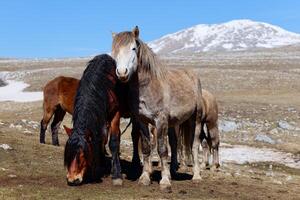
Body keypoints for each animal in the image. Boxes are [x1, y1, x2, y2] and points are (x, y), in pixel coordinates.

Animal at [63, 54, 124, 186]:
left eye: (82, 154)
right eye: (68, 154)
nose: (72, 179)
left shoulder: (115, 113)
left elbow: (113, 141)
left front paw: (117, 174)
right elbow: (99, 138)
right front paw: (98, 166)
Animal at [111, 26, 205, 189]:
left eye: (133, 48)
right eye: (115, 50)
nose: (122, 73)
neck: (149, 87)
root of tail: (192, 75)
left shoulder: (160, 121)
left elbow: (162, 149)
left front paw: (165, 181)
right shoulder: (141, 121)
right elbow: (146, 147)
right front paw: (144, 178)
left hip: (195, 120)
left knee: (194, 145)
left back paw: (197, 176)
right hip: (174, 123)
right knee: (174, 143)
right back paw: (173, 170)